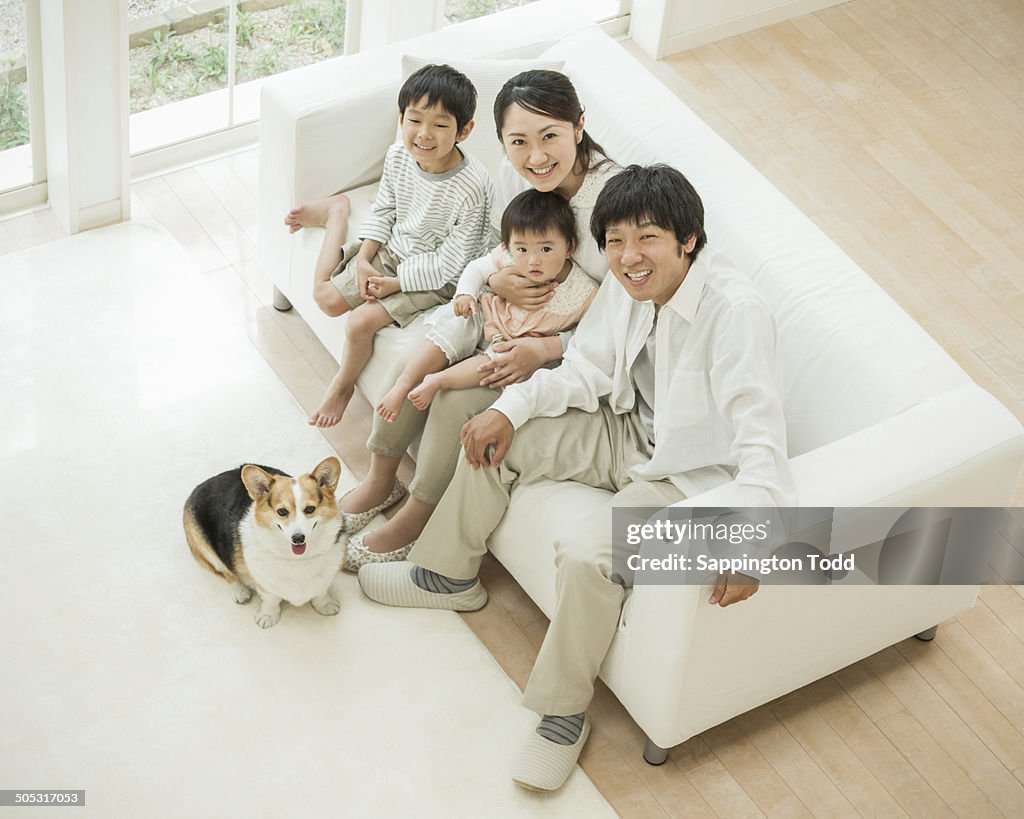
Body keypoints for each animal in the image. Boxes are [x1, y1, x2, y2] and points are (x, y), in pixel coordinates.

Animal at [182, 454, 346, 626]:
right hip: (205, 549)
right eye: (282, 512)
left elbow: (321, 592)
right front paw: (268, 616)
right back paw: (240, 591)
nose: (298, 538)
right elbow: (271, 599)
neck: (297, 559)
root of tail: (204, 484)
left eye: (310, 509)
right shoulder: (264, 584)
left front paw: (325, 605)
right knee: (227, 573)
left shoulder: (326, 578)